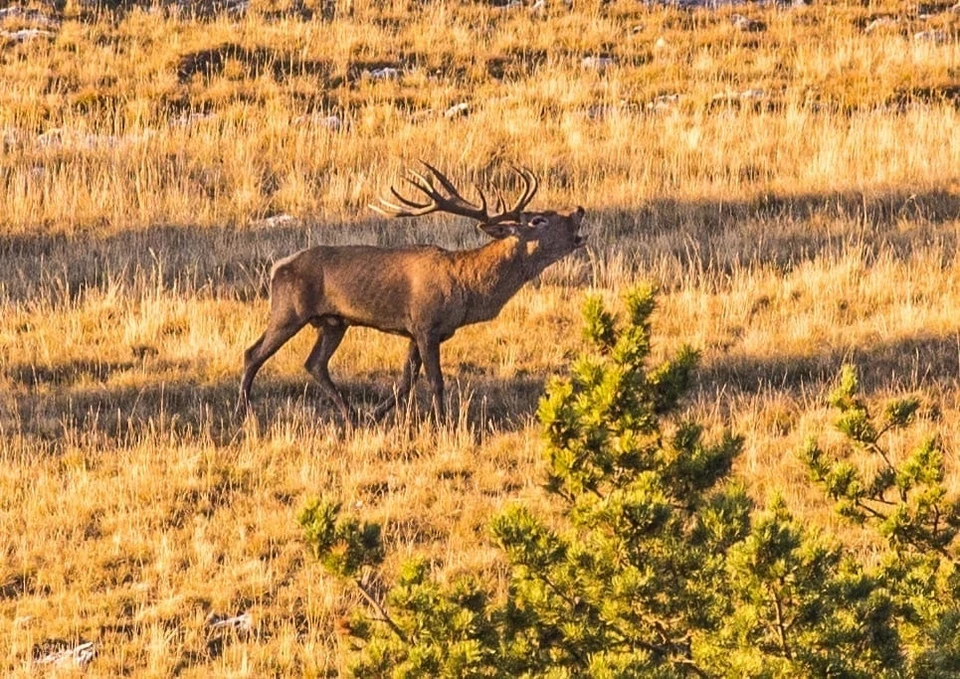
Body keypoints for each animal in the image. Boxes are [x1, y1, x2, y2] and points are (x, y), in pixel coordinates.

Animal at [238, 163, 584, 422]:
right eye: (538, 219)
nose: (579, 209)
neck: (467, 287)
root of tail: (277, 267)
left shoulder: (417, 331)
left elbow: (405, 381)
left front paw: (377, 415)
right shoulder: (425, 324)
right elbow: (435, 380)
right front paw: (443, 424)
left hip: (334, 322)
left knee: (315, 364)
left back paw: (351, 414)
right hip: (289, 310)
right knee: (253, 353)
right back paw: (246, 411)